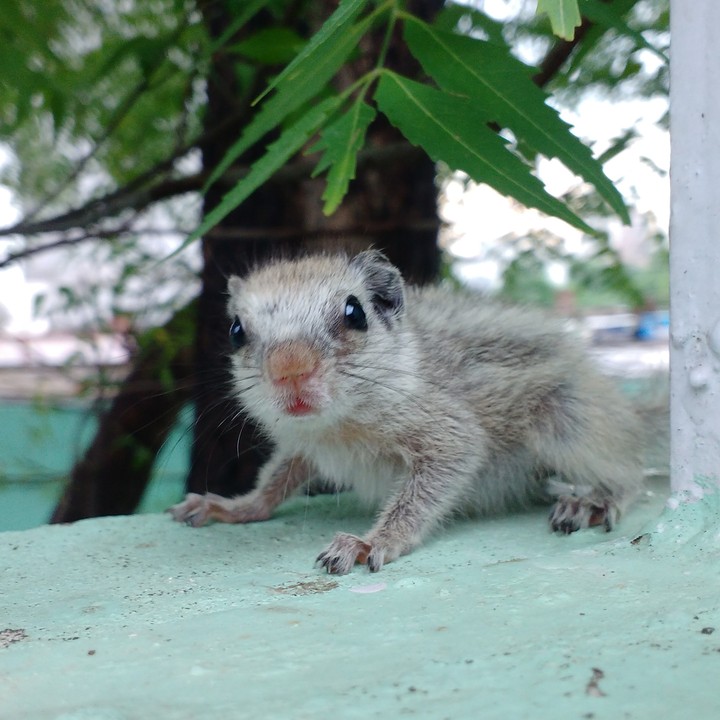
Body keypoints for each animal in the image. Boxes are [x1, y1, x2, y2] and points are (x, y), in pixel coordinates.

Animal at [168, 250, 643, 574]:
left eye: (354, 312)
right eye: (236, 330)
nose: (290, 369)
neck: (334, 428)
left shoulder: (446, 428)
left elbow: (427, 486)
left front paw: (371, 541)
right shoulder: (303, 445)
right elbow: (275, 482)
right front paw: (234, 507)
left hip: (565, 420)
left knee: (629, 475)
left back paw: (593, 500)